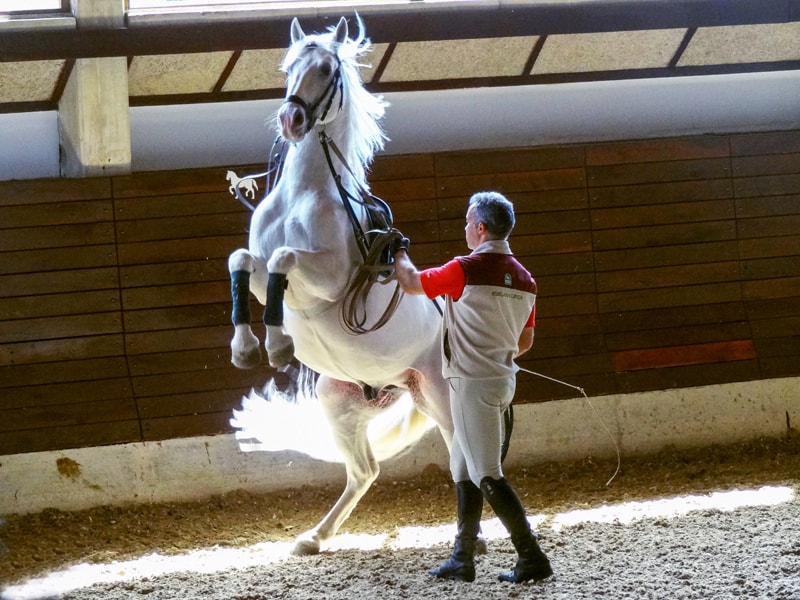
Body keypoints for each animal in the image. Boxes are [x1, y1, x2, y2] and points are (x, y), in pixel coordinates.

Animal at [227, 15, 450, 556]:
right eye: (287, 67)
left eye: (328, 70)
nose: (292, 120)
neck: (304, 192)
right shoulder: (260, 278)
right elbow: (243, 260)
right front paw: (246, 348)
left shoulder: (327, 282)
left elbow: (285, 258)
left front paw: (278, 345)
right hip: (339, 403)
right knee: (364, 470)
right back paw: (314, 537)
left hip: (436, 393)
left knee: (469, 459)